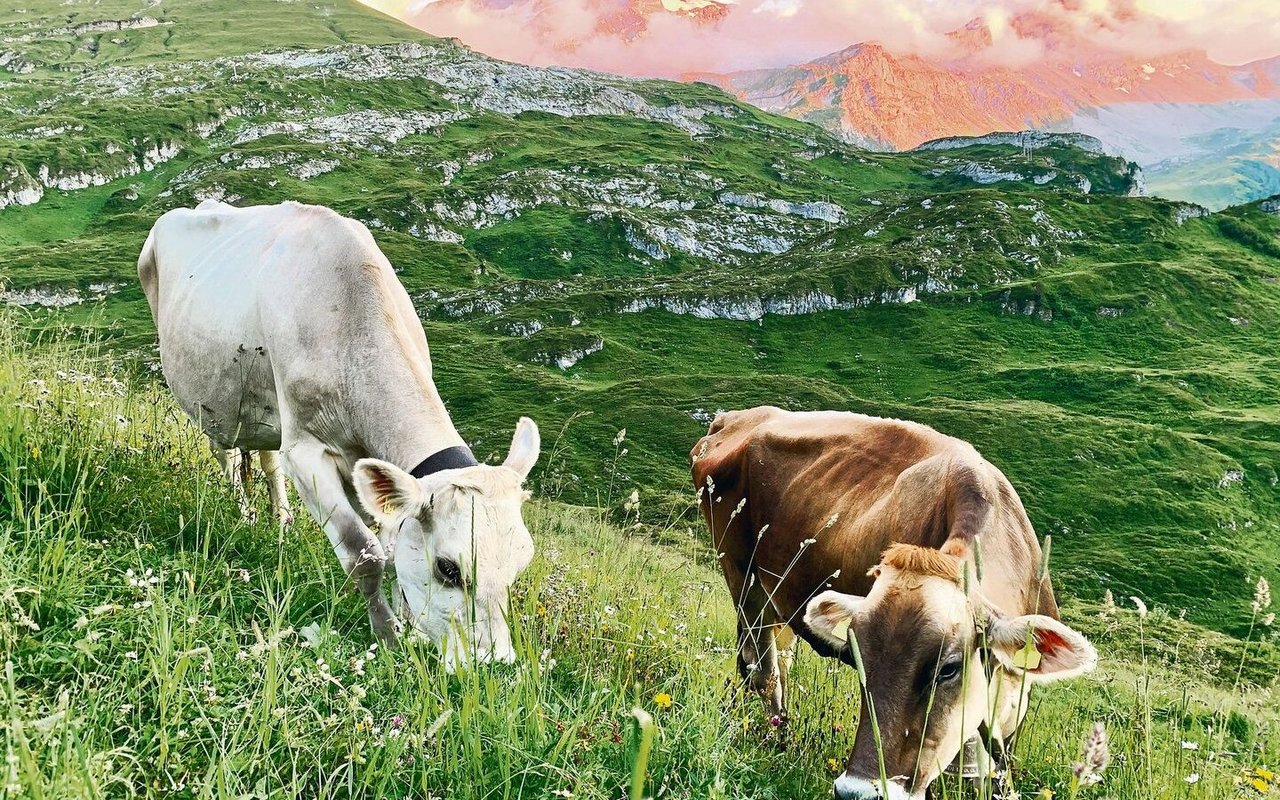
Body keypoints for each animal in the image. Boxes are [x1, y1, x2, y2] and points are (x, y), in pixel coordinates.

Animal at [140, 197, 540, 665]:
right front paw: (388, 637)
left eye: (521, 563)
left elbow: (390, 545)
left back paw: (280, 522)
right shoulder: (306, 451)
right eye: (448, 568)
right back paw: (245, 513)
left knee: (267, 459)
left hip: (264, 408)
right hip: (211, 403)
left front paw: (407, 625)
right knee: (227, 454)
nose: (494, 662)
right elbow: (365, 554)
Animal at [696, 409, 1095, 793]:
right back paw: (777, 741)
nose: (857, 791)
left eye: (948, 668)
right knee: (762, 670)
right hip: (742, 577)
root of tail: (734, 418)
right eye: (858, 657)